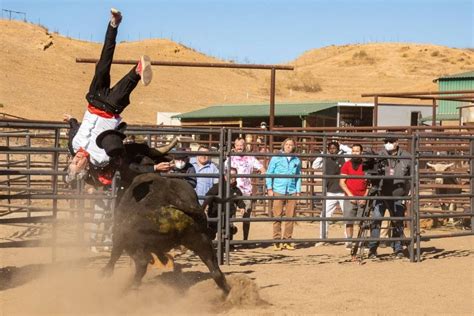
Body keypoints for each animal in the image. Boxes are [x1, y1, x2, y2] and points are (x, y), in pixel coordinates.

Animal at [102, 173, 231, 294]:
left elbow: (115, 254)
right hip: (200, 240)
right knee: (215, 271)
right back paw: (226, 291)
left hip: (132, 241)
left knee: (140, 262)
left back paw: (128, 286)